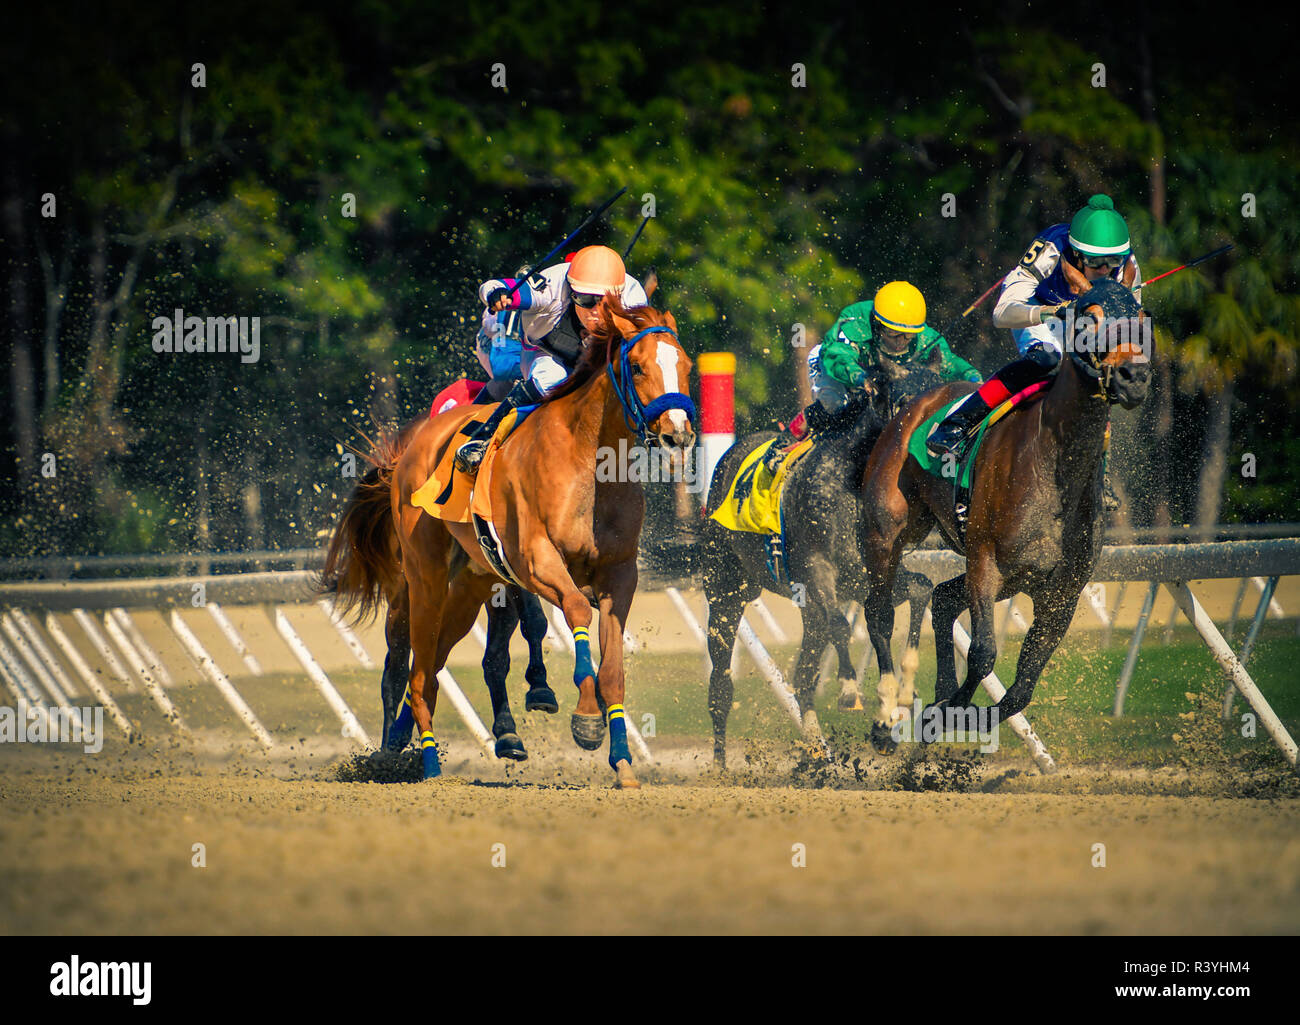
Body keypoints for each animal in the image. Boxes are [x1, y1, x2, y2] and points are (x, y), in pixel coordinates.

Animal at [863, 275, 1149, 728]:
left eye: (1141, 316)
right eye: (1090, 315)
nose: (1133, 376)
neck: (1054, 471)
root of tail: (918, 398)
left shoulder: (1060, 595)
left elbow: (1020, 692)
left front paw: (946, 710)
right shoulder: (986, 562)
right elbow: (983, 654)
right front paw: (944, 711)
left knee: (942, 599)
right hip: (886, 532)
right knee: (879, 613)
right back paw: (888, 705)